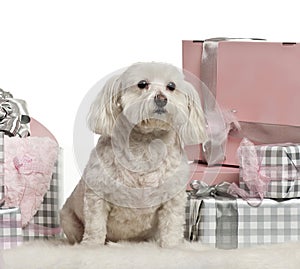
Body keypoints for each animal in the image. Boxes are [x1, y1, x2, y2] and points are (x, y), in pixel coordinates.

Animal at [59, 61, 207, 246]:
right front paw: (92, 246)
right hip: (68, 219)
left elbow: (171, 227)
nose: (161, 99)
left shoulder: (172, 199)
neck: (146, 144)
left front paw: (172, 246)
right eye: (142, 84)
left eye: (171, 86)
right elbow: (95, 226)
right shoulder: (97, 195)